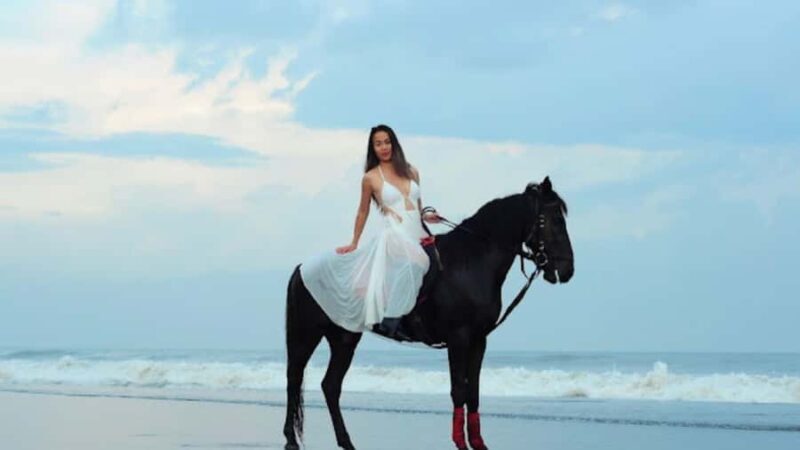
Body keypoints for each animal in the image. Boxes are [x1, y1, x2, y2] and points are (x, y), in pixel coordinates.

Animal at [283, 176, 574, 450]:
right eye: (552, 220)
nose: (567, 270)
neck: (470, 262)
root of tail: (301, 268)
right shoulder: (458, 338)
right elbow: (459, 390)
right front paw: (460, 442)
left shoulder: (479, 340)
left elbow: (474, 391)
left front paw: (477, 442)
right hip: (306, 336)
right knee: (294, 377)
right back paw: (291, 439)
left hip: (344, 338)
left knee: (331, 386)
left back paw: (346, 442)